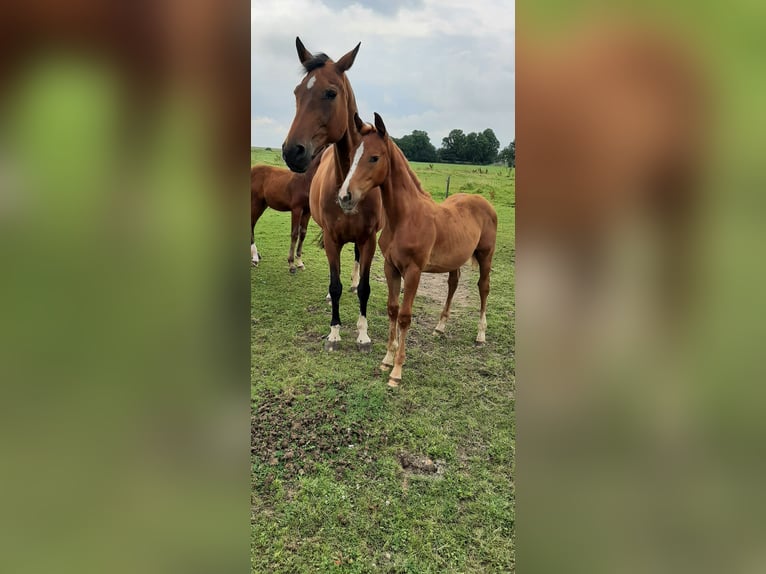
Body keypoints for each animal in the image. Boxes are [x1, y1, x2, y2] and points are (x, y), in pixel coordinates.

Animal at [284, 39, 388, 352]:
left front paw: (363, 334)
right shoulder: (331, 239)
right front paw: (334, 333)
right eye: (297, 92)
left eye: (330, 93)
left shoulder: (369, 239)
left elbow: (365, 287)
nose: (292, 151)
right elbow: (334, 283)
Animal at [340, 114, 498, 390]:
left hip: (486, 255)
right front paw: (386, 360)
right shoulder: (390, 267)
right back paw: (440, 327)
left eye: (374, 157)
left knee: (484, 288)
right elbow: (392, 309)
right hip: (454, 260)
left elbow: (404, 316)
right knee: (453, 284)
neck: (405, 217)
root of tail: (484, 202)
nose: (344, 197)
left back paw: (480, 335)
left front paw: (397, 371)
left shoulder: (413, 271)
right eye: (353, 155)